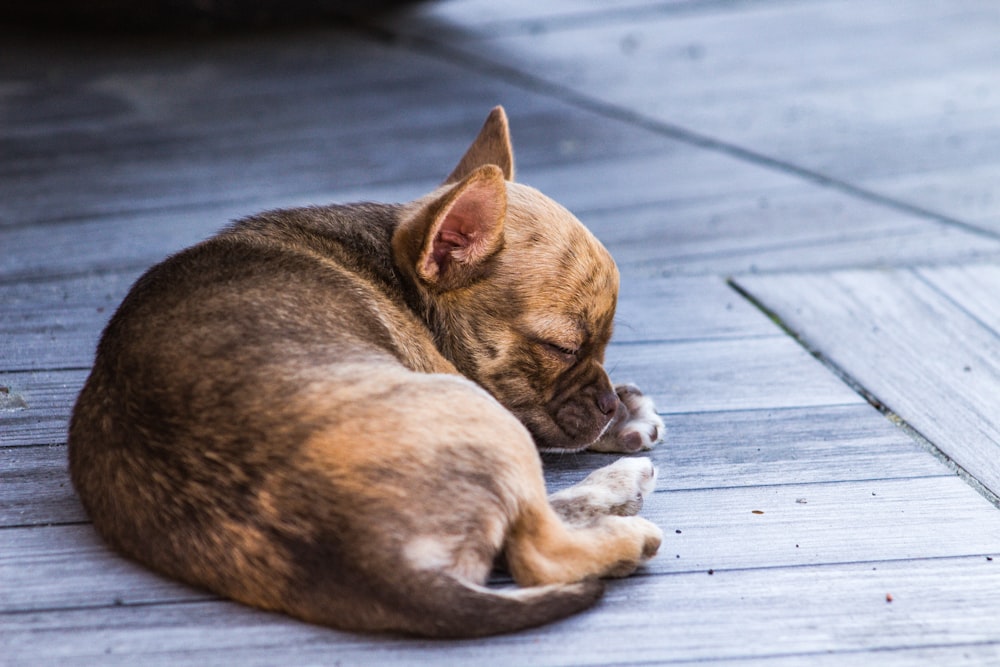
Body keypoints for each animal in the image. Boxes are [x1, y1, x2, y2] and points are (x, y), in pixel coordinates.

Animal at [68, 107, 664, 640]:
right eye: (563, 348)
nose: (608, 404)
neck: (399, 273)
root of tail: (371, 559)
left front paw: (626, 416)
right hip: (472, 408)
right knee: (537, 547)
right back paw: (622, 510)